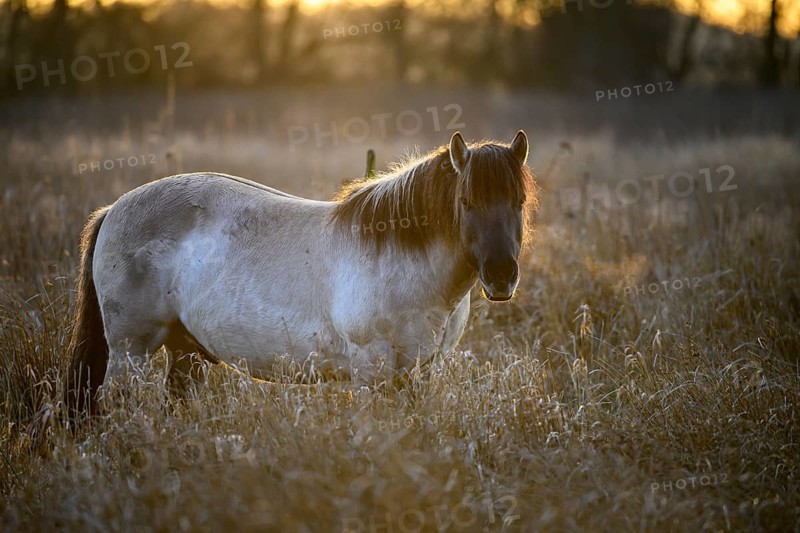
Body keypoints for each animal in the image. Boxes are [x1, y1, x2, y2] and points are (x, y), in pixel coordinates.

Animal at [67, 131, 537, 415]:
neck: (402, 257)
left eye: (518, 201)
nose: (500, 277)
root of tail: (114, 209)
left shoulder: (416, 373)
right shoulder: (371, 371)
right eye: (467, 202)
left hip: (185, 350)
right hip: (131, 351)